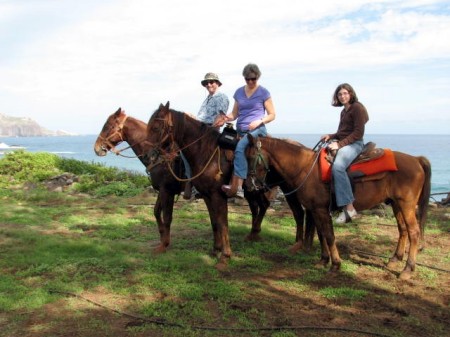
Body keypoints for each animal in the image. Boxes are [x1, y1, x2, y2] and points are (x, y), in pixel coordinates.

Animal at [145, 101, 312, 266]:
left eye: (156, 128)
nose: (148, 155)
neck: (206, 152)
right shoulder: (206, 195)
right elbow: (214, 222)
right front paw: (216, 249)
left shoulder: (214, 195)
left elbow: (222, 222)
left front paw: (225, 255)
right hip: (254, 190)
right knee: (265, 206)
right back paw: (258, 235)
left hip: (288, 189)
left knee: (298, 213)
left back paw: (297, 244)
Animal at [246, 134, 432, 278]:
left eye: (251, 157)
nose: (249, 185)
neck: (306, 168)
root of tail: (416, 159)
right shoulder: (315, 210)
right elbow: (321, 234)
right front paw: (323, 260)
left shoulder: (320, 210)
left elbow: (329, 236)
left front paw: (335, 264)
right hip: (396, 204)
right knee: (403, 230)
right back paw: (395, 260)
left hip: (407, 205)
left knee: (414, 232)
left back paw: (407, 269)